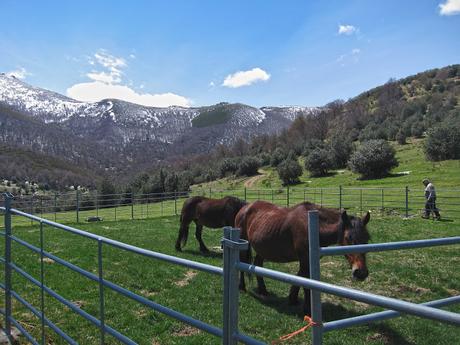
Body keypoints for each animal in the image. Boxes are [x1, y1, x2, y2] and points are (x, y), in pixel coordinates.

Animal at [235, 199, 372, 314]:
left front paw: (293, 299)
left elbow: (300, 277)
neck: (314, 227)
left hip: (263, 249)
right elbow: (306, 282)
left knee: (258, 264)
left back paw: (263, 290)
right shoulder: (304, 258)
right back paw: (242, 287)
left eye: (367, 239)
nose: (361, 273)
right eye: (348, 238)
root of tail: (245, 207)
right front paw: (307, 309)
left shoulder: (307, 259)